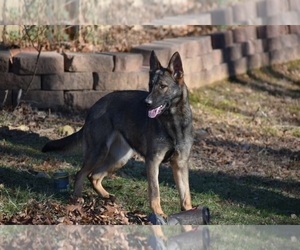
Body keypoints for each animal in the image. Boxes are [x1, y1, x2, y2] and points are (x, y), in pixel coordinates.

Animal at [42, 50, 193, 215]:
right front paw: (158, 214)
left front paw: (190, 213)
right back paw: (76, 199)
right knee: (81, 174)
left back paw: (106, 197)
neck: (173, 123)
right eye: (150, 85)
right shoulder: (153, 161)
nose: (146, 103)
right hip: (99, 152)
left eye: (163, 86)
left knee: (94, 176)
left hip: (119, 159)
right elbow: (155, 192)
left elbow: (186, 195)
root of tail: (95, 106)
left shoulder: (180, 164)